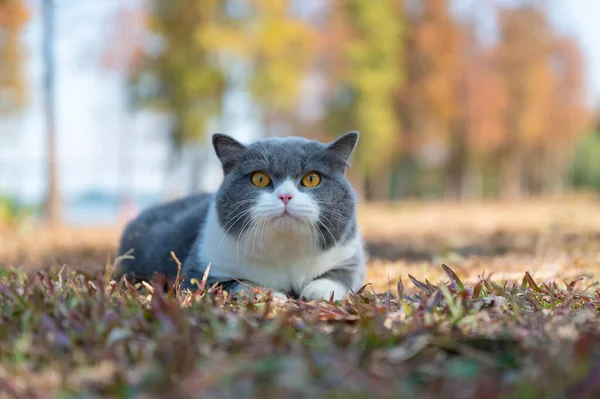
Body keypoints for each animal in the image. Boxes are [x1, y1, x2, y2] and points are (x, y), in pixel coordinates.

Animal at [115, 133, 364, 302]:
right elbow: (238, 284)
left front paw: (316, 290)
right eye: (260, 178)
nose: (285, 196)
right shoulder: (200, 269)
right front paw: (272, 295)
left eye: (312, 178)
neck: (285, 250)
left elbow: (344, 276)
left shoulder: (349, 253)